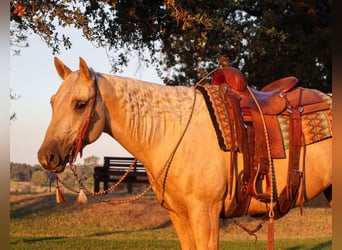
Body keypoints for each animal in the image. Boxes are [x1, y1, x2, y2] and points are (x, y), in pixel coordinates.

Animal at [38, 57, 332, 249]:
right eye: (52, 102)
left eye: (80, 104)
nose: (46, 157)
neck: (173, 133)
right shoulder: (179, 216)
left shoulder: (206, 214)